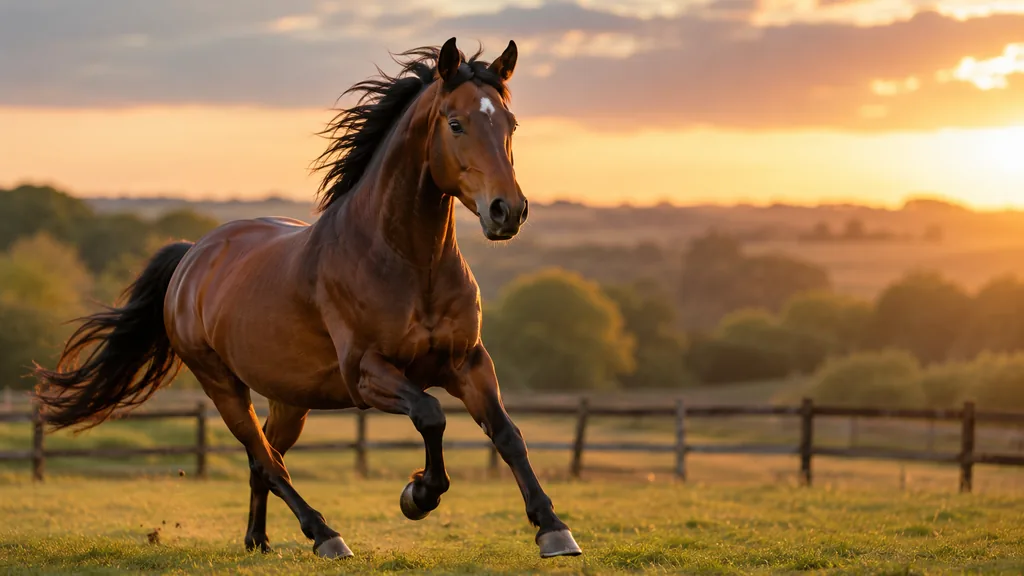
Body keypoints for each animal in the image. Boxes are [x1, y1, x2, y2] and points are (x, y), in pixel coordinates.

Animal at [34, 37, 581, 560]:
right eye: (456, 123)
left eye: (510, 123)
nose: (508, 211)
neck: (408, 264)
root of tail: (193, 256)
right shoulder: (367, 373)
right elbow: (431, 414)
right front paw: (418, 494)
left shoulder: (468, 361)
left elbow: (508, 434)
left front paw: (554, 530)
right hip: (222, 385)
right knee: (267, 461)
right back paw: (326, 536)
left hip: (289, 398)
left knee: (266, 460)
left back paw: (259, 540)